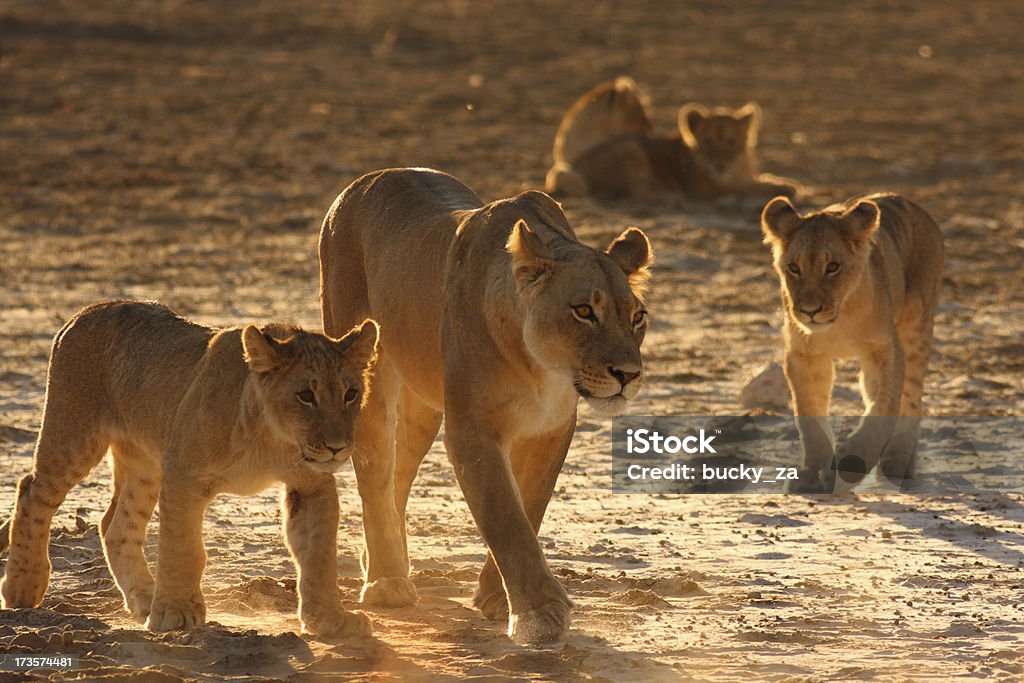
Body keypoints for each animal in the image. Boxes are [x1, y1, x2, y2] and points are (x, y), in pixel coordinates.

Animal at [2, 301, 378, 638]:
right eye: (305, 396)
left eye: (350, 394)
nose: (337, 447)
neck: (272, 438)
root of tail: (83, 312)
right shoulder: (183, 473)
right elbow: (183, 548)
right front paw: (175, 612)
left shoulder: (312, 485)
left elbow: (318, 555)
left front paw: (331, 618)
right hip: (73, 436)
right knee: (31, 491)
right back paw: (23, 586)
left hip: (144, 464)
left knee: (115, 524)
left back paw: (144, 598)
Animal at [321, 167, 655, 643]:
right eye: (584, 311)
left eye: (637, 317)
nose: (628, 375)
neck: (541, 368)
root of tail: (370, 177)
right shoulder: (472, 430)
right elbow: (505, 517)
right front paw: (539, 612)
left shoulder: (551, 429)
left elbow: (529, 507)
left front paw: (497, 597)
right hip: (369, 375)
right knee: (375, 475)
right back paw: (387, 580)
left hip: (424, 407)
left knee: (397, 475)